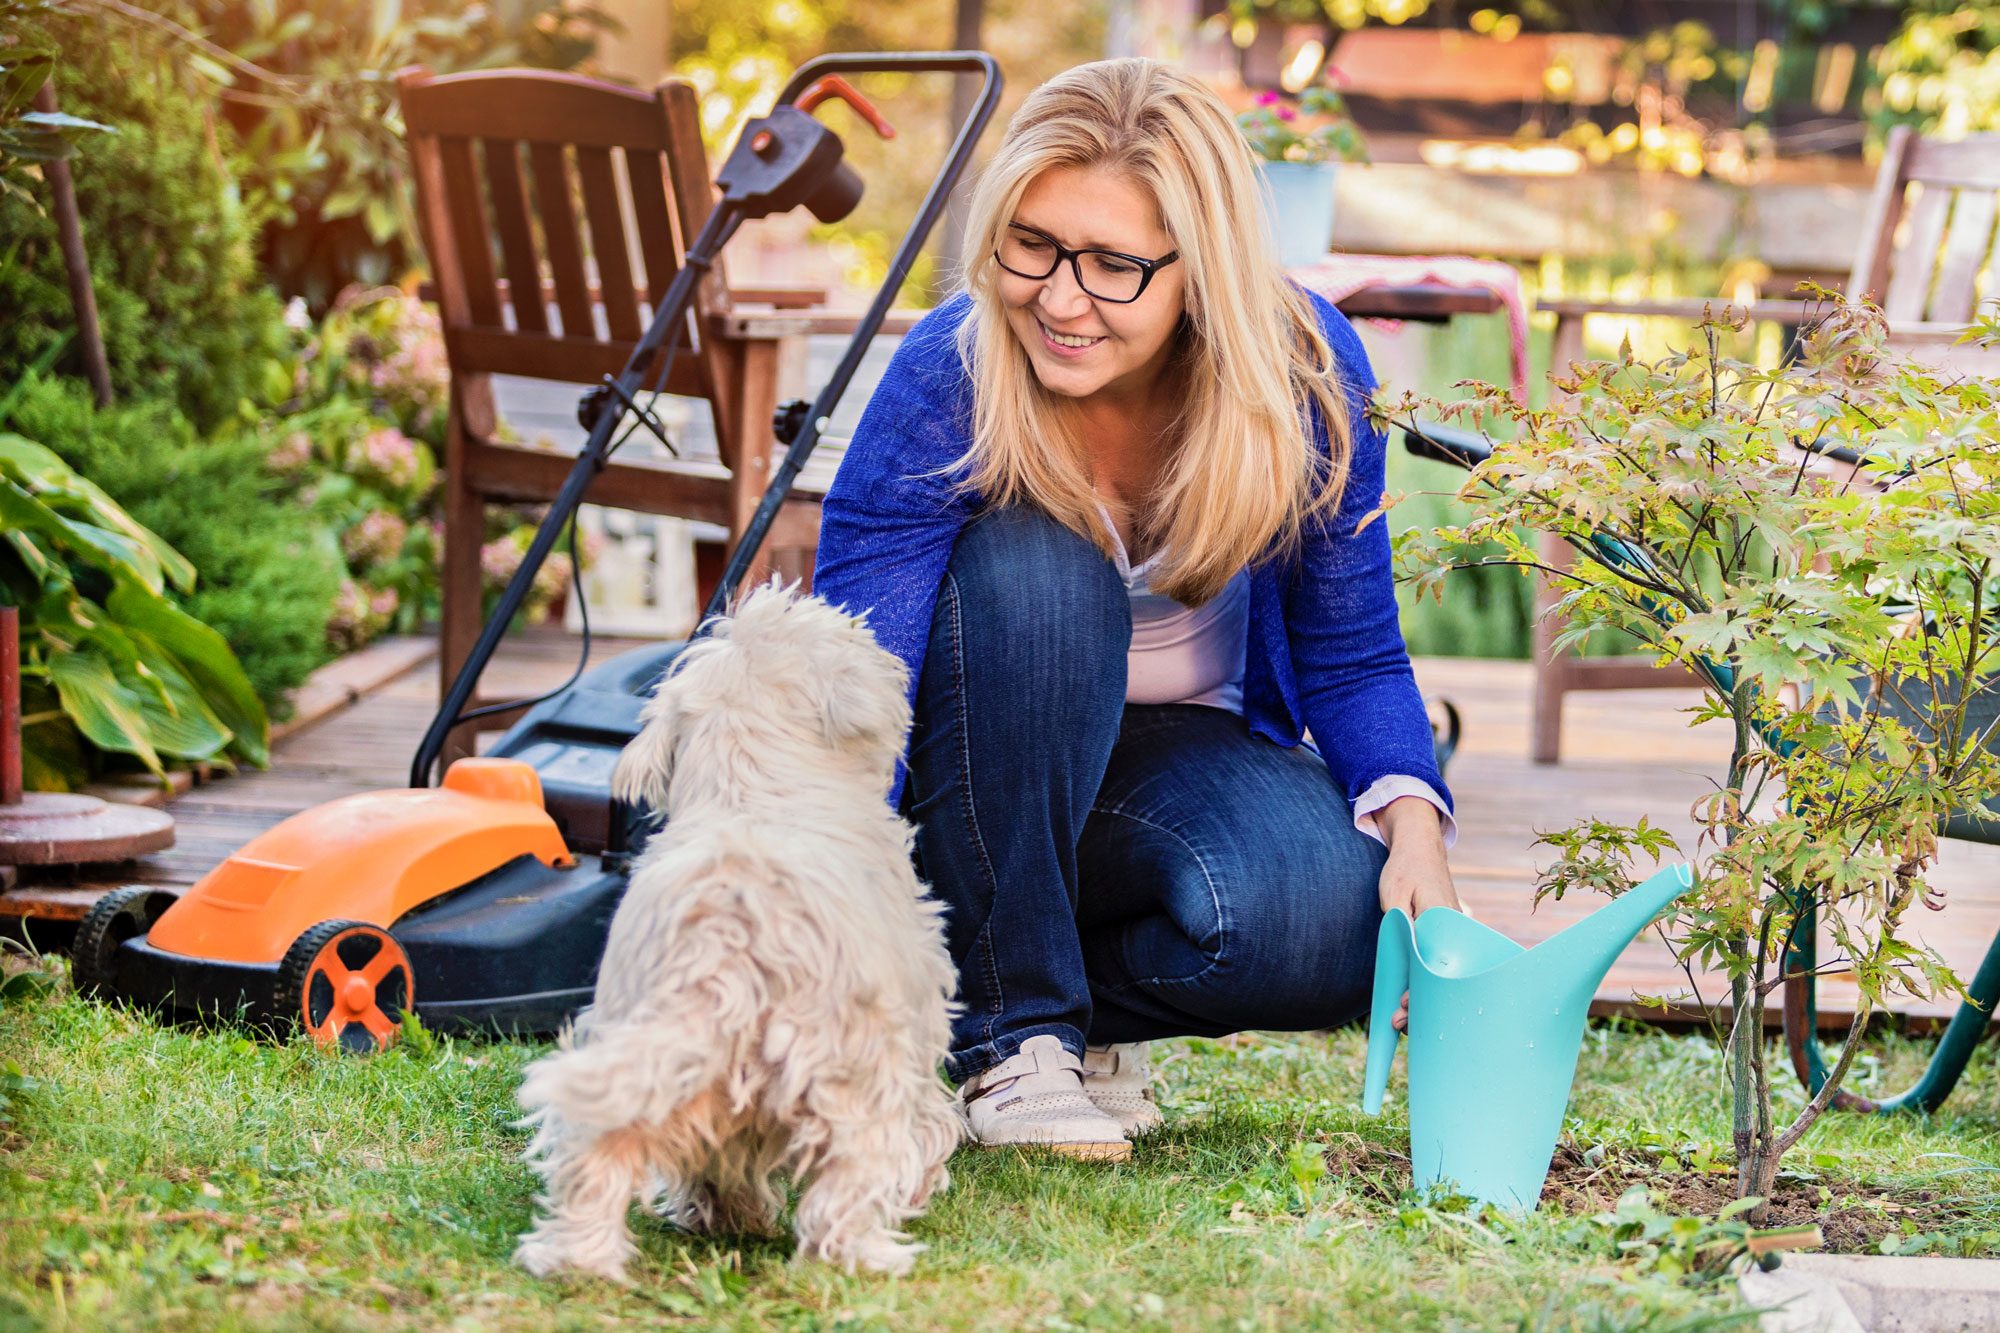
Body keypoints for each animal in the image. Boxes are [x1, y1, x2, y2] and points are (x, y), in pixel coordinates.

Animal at [512, 580, 956, 1280]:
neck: (752, 786)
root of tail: (723, 952)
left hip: (636, 1058)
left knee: (604, 1166)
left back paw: (590, 1254)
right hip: (853, 1072)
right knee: (849, 1184)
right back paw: (864, 1256)